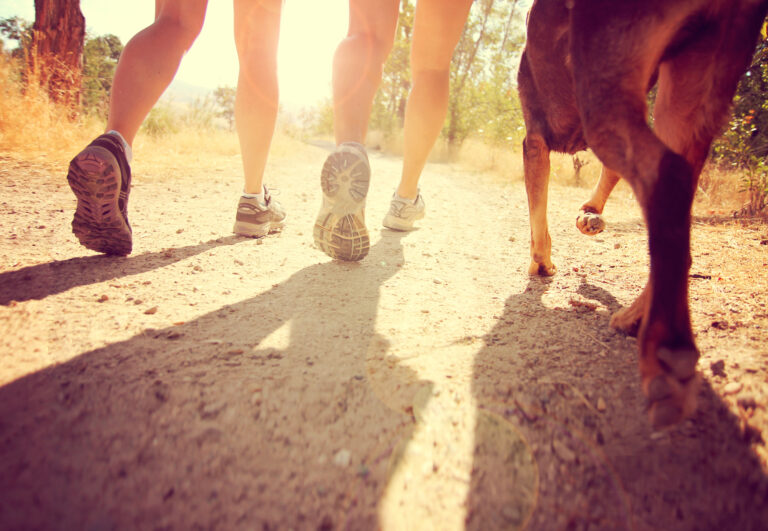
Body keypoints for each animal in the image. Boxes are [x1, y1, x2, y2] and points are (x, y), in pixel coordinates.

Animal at [516, 0, 768, 428]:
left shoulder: (534, 140)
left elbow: (539, 217)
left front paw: (541, 263)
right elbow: (608, 175)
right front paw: (589, 216)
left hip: (607, 88)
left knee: (666, 177)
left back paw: (667, 348)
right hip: (689, 85)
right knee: (676, 196)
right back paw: (636, 317)